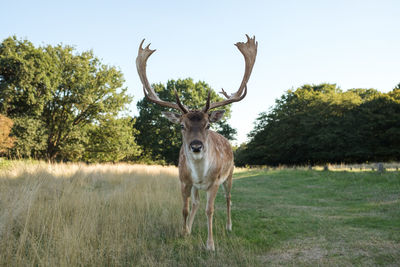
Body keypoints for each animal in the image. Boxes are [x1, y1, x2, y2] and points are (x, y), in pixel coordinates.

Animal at [136, 34, 258, 251]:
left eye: (207, 124)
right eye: (182, 125)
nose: (196, 146)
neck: (201, 174)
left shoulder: (215, 182)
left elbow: (210, 210)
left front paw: (210, 245)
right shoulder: (184, 180)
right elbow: (185, 208)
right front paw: (184, 232)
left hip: (230, 174)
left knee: (228, 198)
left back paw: (228, 226)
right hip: (197, 185)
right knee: (196, 203)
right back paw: (190, 228)